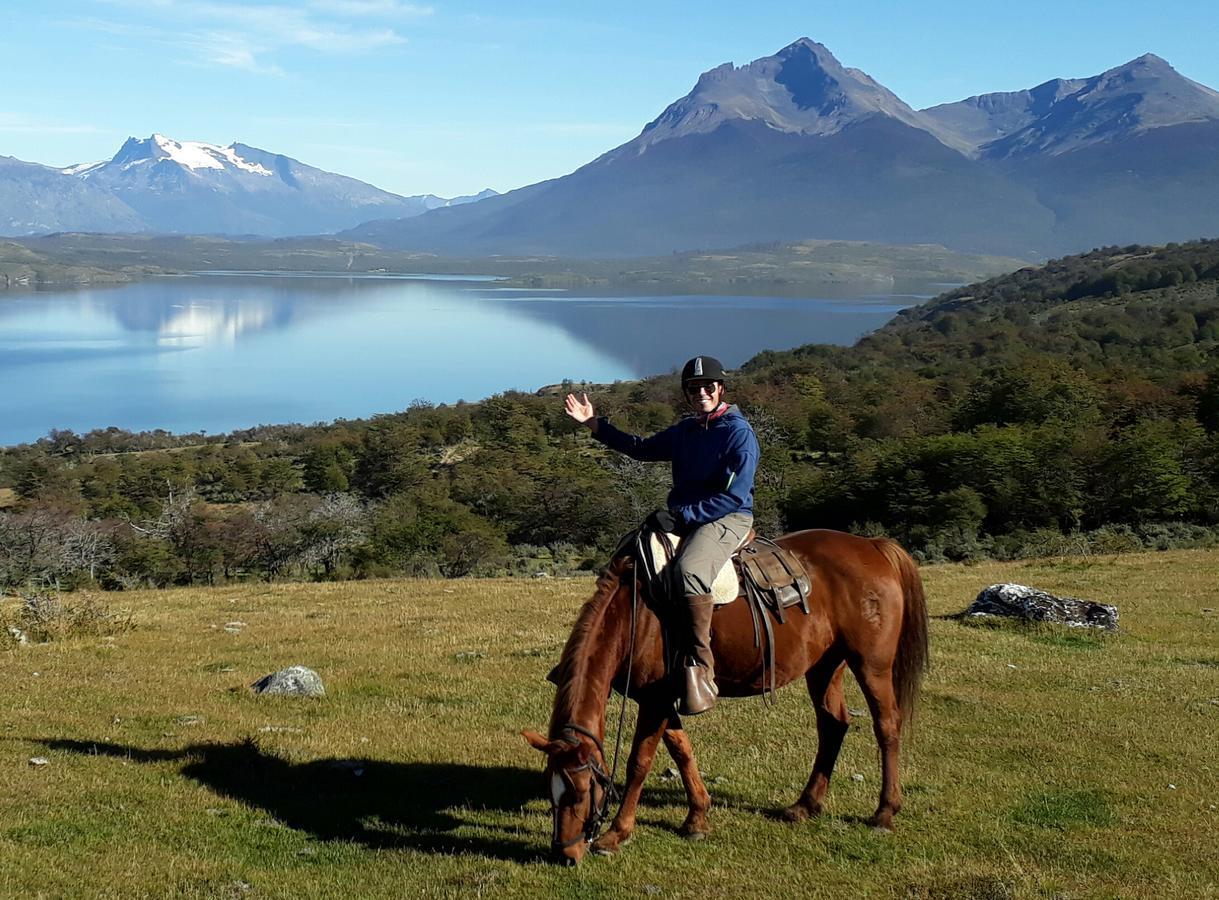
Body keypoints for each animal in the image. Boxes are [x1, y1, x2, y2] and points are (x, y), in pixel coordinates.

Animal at [519, 526, 926, 863]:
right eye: (551, 791)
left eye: (581, 791)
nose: (567, 853)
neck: (635, 614)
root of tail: (873, 546)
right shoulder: (666, 697)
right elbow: (681, 750)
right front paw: (697, 818)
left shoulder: (654, 700)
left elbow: (639, 763)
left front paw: (616, 834)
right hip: (825, 666)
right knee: (833, 725)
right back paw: (805, 805)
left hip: (871, 664)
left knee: (886, 725)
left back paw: (884, 812)